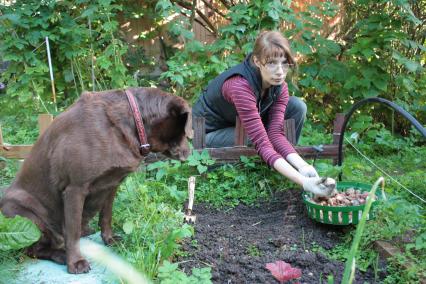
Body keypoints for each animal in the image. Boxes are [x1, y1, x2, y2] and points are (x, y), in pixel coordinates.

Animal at [0, 86, 193, 272]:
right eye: (186, 132)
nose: (189, 153)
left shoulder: (112, 184)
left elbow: (106, 216)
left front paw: (109, 239)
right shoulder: (74, 189)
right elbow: (72, 232)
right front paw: (75, 262)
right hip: (24, 213)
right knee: (33, 249)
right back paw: (61, 255)